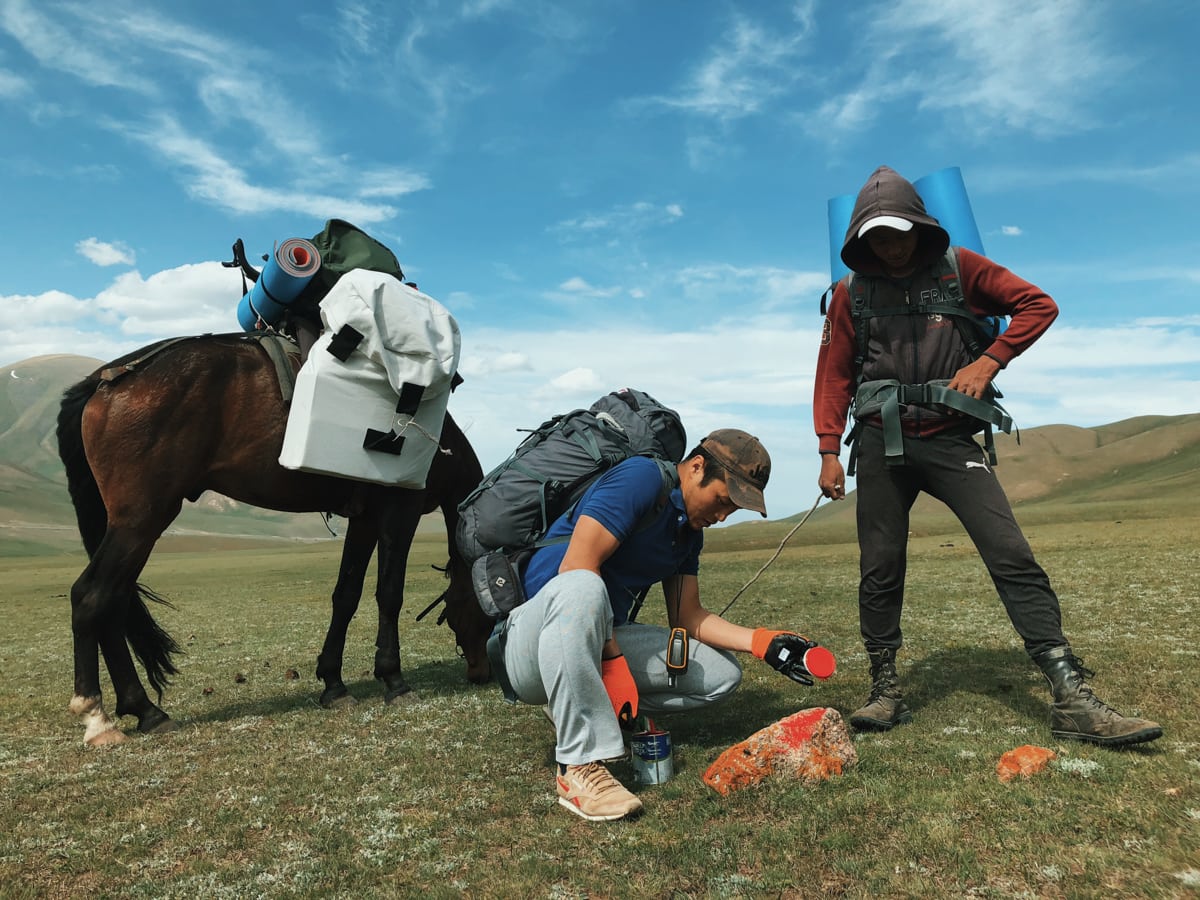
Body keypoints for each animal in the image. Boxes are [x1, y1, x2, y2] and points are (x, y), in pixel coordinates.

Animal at [54, 331, 494, 748]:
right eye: (490, 608)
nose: (482, 672)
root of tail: (104, 380)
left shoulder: (364, 518)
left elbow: (346, 594)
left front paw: (334, 684)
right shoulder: (399, 509)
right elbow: (389, 593)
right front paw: (395, 681)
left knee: (114, 603)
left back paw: (145, 710)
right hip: (142, 519)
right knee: (91, 596)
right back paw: (97, 718)